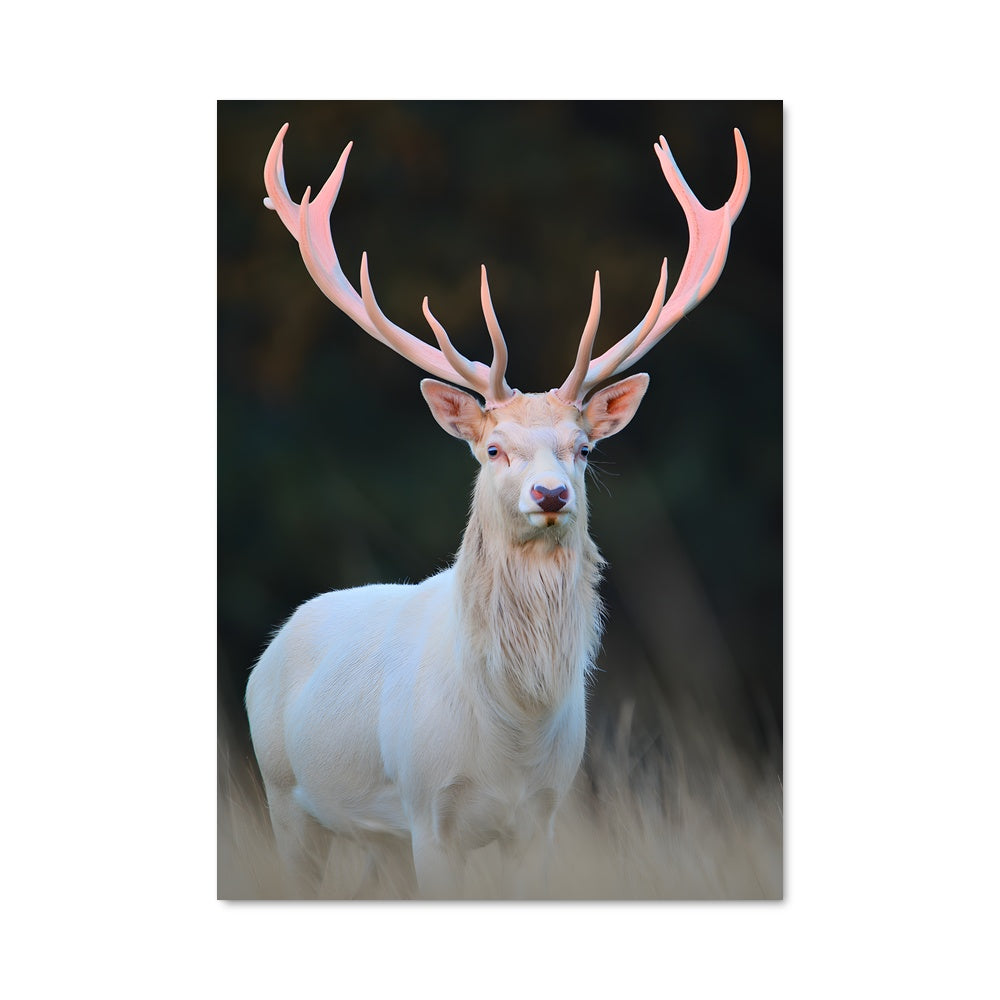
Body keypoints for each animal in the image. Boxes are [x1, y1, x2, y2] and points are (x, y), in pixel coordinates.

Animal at [245, 122, 750, 898]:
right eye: (492, 449)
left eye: (582, 448)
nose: (551, 494)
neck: (509, 738)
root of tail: (272, 645)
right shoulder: (427, 811)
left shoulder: (542, 818)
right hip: (285, 800)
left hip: (373, 840)